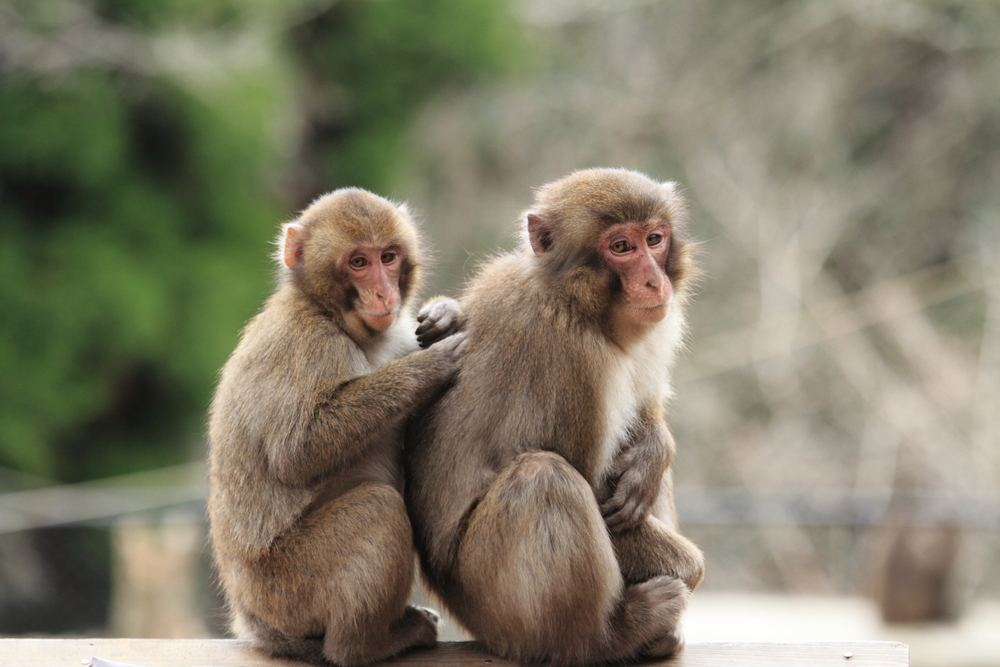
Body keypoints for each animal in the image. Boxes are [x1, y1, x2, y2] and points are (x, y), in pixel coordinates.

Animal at [208, 188, 468, 667]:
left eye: (388, 257)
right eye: (358, 262)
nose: (384, 293)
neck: (329, 314)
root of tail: (251, 615)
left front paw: (445, 314)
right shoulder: (307, 344)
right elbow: (296, 452)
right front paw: (429, 367)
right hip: (291, 586)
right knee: (378, 507)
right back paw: (366, 644)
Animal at [404, 170, 704, 664]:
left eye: (654, 239)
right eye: (621, 247)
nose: (653, 281)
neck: (575, 301)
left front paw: (654, 451)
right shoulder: (570, 354)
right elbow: (588, 482)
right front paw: (690, 567)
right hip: (491, 601)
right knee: (544, 477)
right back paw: (610, 635)